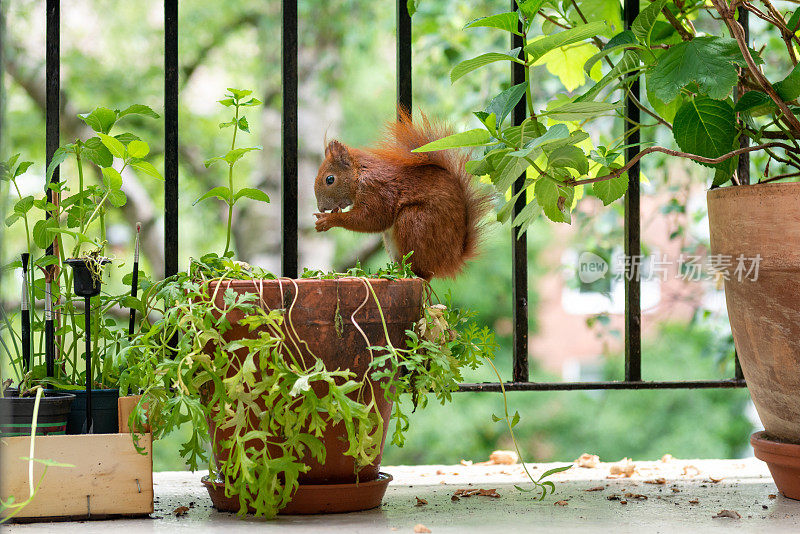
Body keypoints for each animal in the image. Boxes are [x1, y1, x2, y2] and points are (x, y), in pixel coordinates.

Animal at [314, 111, 494, 282]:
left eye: (329, 179)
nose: (321, 207)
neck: (359, 175)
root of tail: (451, 260)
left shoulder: (377, 190)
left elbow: (373, 219)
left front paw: (329, 220)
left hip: (414, 222)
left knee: (423, 273)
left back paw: (407, 274)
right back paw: (388, 273)